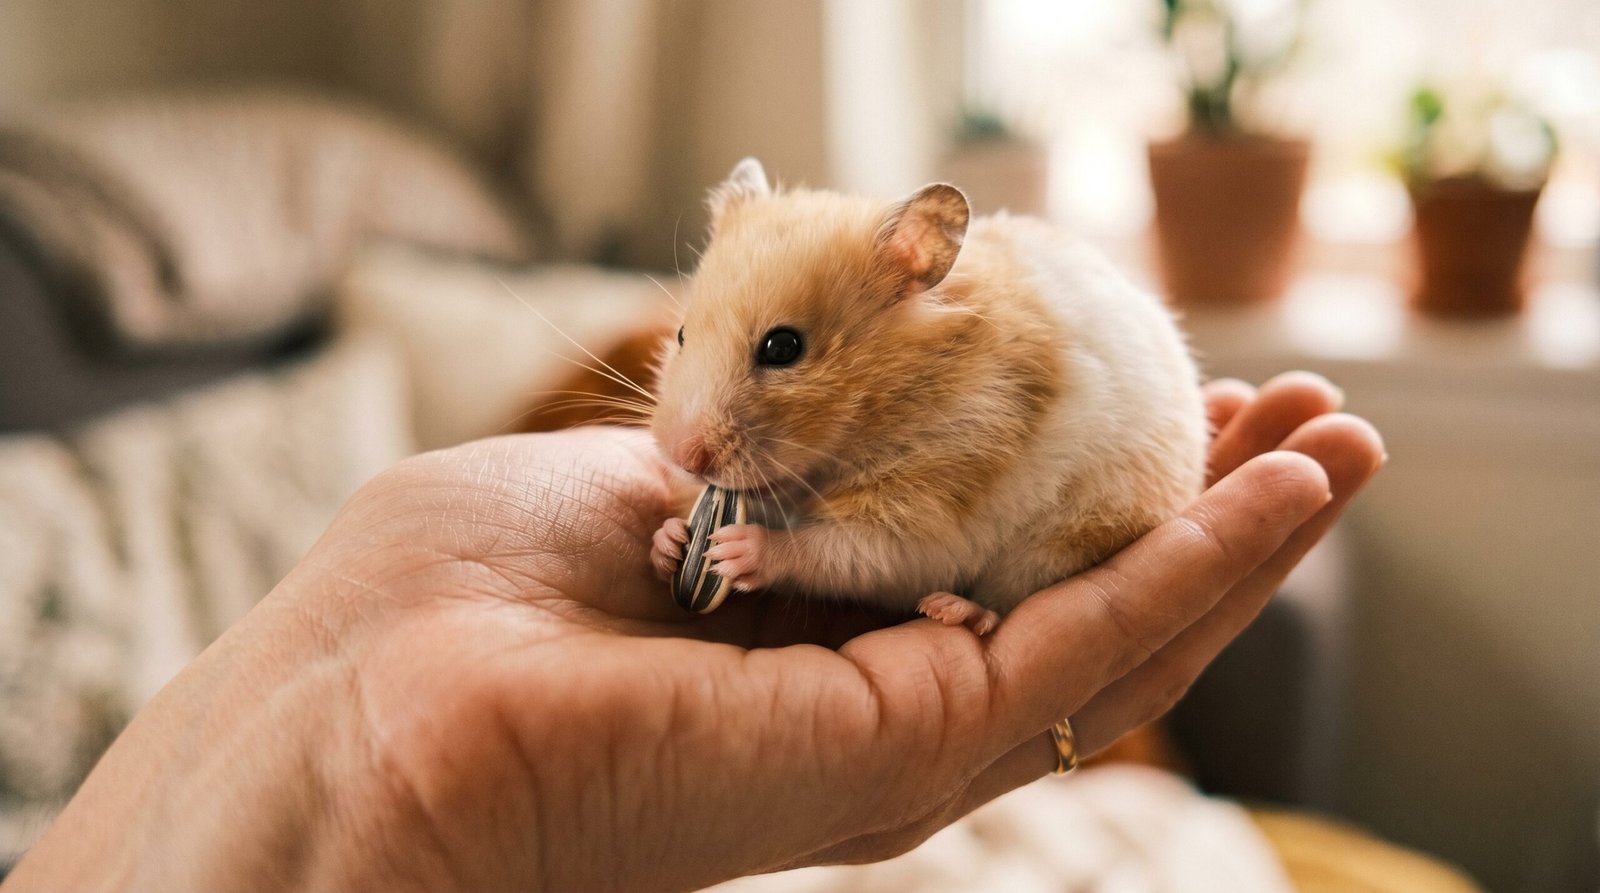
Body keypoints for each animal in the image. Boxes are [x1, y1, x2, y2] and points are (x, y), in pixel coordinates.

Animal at [649, 158, 1206, 634]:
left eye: (783, 347)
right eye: (681, 335)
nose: (685, 457)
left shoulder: (929, 510)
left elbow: (841, 551)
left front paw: (736, 550)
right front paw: (669, 541)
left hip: (1075, 534)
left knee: (1013, 593)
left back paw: (954, 610)